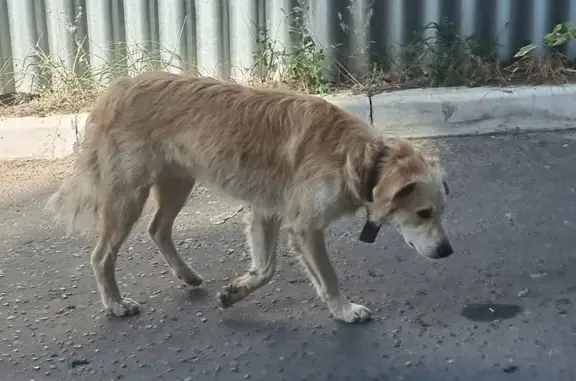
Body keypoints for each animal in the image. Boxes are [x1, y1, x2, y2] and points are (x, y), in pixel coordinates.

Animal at [47, 70, 452, 320]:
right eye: (424, 213)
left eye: (441, 212)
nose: (448, 251)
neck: (366, 159)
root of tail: (121, 87)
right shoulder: (305, 226)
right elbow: (328, 275)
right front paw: (345, 311)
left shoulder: (266, 213)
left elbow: (266, 269)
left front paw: (237, 292)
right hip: (128, 196)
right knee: (102, 256)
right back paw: (115, 304)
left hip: (178, 182)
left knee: (158, 229)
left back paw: (187, 276)